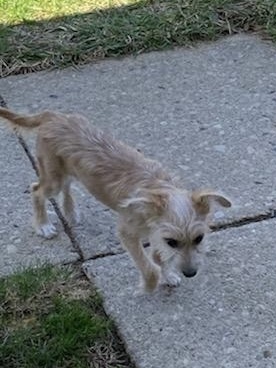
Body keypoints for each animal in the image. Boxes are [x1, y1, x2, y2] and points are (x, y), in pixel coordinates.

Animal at [0, 107, 232, 294]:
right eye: (173, 242)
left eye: (199, 238)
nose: (191, 273)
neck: (158, 187)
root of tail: (53, 116)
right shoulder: (128, 233)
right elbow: (150, 267)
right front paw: (148, 287)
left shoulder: (155, 232)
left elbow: (158, 258)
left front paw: (168, 275)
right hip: (53, 177)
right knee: (36, 190)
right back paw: (43, 225)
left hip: (67, 171)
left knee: (66, 187)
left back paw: (70, 212)